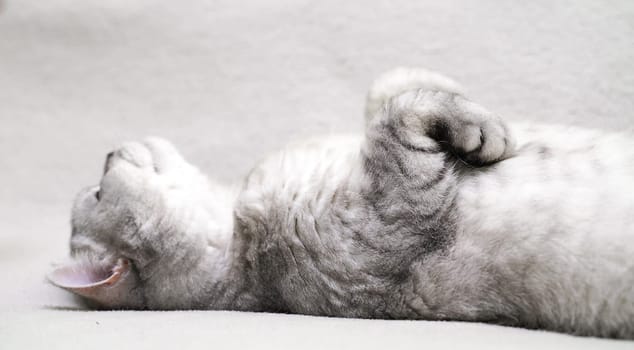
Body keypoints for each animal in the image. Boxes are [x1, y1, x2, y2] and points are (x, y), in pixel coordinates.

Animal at [49, 68, 632, 340]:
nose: (107, 151)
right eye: (99, 191)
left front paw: (462, 98)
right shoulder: (389, 215)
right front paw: (480, 128)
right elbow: (396, 116)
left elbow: (388, 86)